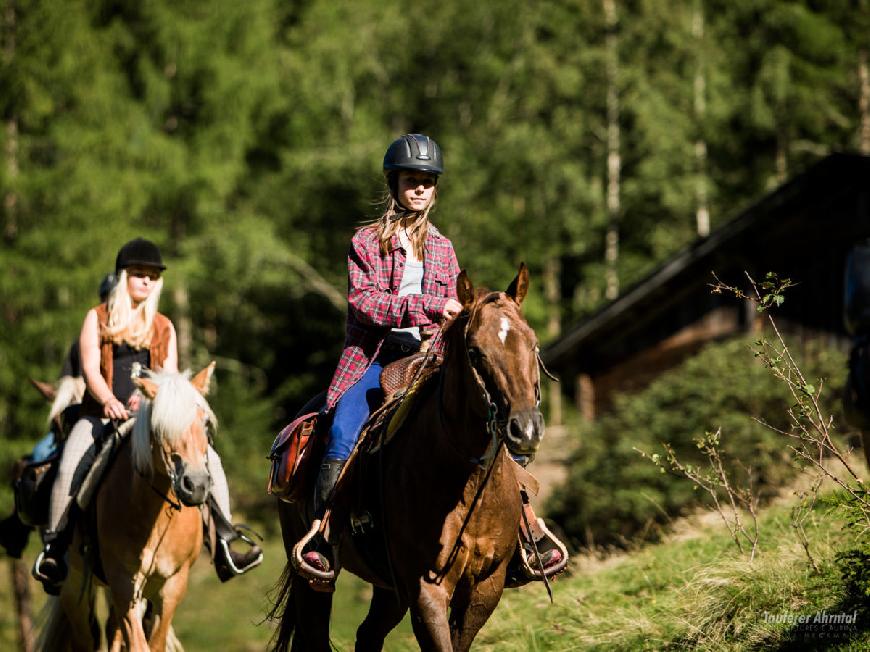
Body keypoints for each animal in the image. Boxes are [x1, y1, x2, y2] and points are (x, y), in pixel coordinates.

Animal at [39, 364, 218, 648]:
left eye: (205, 422)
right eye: (160, 425)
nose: (197, 484)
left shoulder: (171, 587)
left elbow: (154, 642)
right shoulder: (124, 585)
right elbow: (137, 644)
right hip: (73, 588)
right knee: (88, 636)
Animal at [272, 264, 544, 652]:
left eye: (532, 344)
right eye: (475, 351)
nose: (526, 428)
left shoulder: (485, 588)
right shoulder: (424, 589)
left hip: (388, 589)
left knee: (368, 635)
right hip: (312, 581)